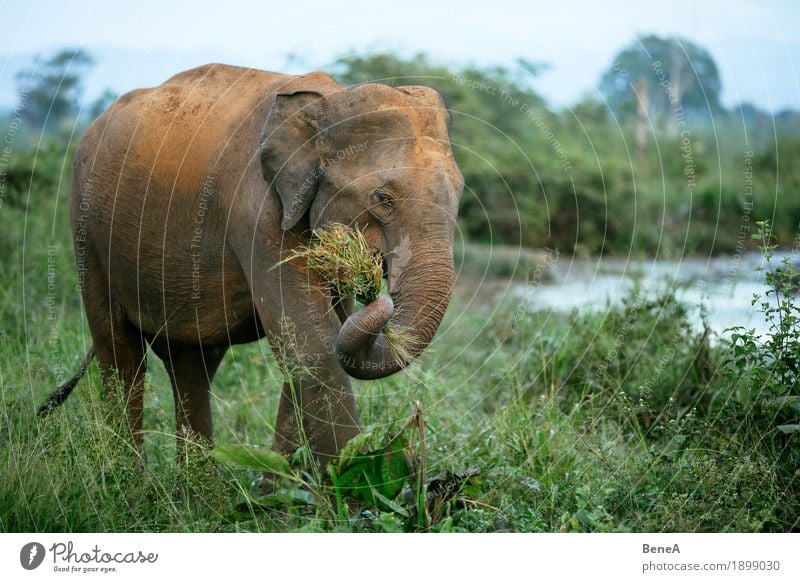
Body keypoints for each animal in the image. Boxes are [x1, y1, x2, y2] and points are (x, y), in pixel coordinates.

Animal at [39, 64, 462, 468]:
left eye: (459, 193)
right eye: (383, 199)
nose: (377, 294)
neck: (326, 102)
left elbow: (315, 343)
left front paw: (284, 488)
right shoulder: (257, 212)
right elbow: (313, 346)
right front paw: (353, 486)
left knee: (191, 366)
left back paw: (199, 489)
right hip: (86, 228)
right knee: (120, 355)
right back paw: (132, 484)